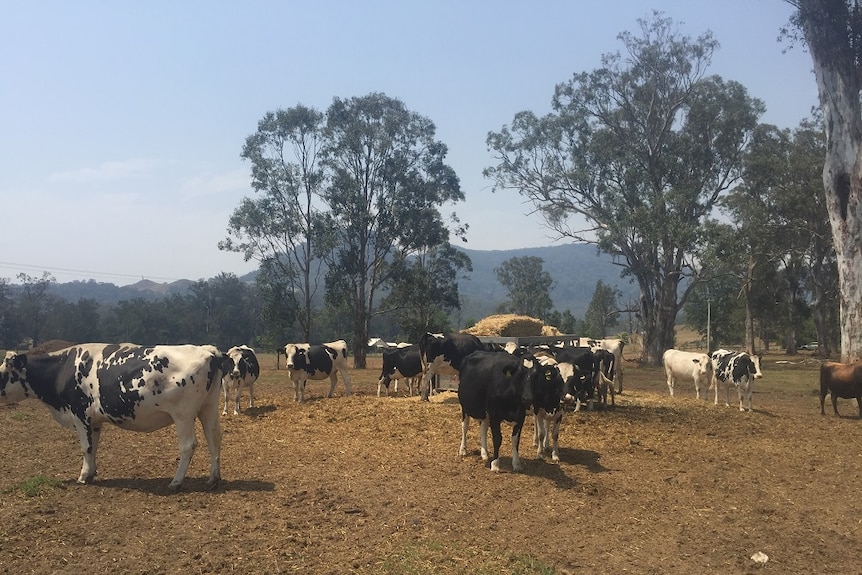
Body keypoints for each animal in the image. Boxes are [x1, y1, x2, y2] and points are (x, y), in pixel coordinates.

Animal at [0, 344, 226, 492]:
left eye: (2, 373)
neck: (63, 369)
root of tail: (208, 350)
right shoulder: (94, 422)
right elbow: (93, 447)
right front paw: (91, 472)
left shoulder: (80, 415)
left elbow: (85, 447)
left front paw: (83, 476)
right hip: (208, 408)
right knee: (214, 437)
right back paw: (213, 479)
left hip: (183, 414)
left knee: (188, 445)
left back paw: (176, 482)